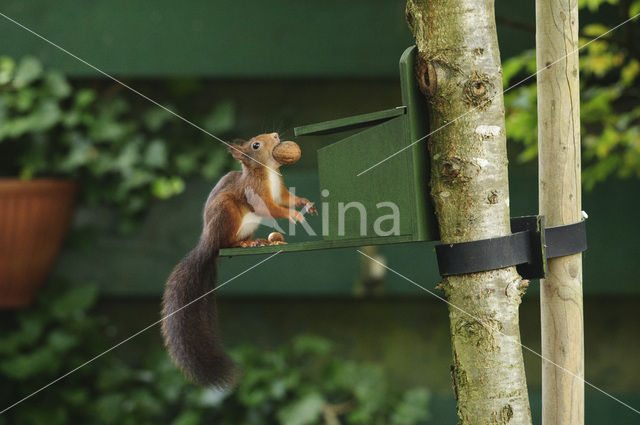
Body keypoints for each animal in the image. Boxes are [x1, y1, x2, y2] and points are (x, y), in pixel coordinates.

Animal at [161, 133, 316, 388]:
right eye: (256, 145)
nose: (275, 135)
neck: (268, 171)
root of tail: (208, 242)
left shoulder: (281, 191)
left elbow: (288, 199)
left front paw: (305, 202)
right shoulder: (255, 193)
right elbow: (272, 208)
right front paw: (293, 215)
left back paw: (257, 241)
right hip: (227, 212)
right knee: (226, 242)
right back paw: (241, 244)